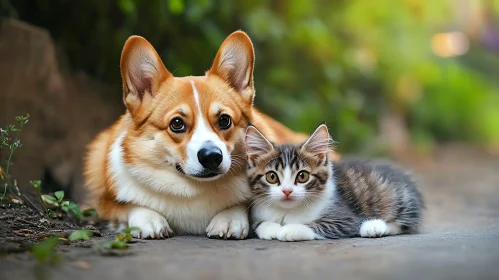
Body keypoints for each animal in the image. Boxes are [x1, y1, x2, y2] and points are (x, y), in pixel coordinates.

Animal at [82, 31, 308, 241]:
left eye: (224, 120)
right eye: (177, 123)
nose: (212, 157)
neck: (195, 189)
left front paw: (229, 219)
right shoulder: (104, 204)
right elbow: (128, 205)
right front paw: (149, 219)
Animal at [244, 123, 424, 242]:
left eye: (302, 176)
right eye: (272, 177)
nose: (287, 191)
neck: (287, 211)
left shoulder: (345, 219)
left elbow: (315, 225)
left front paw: (290, 229)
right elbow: (257, 223)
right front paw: (271, 228)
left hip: (399, 198)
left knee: (405, 224)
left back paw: (373, 226)